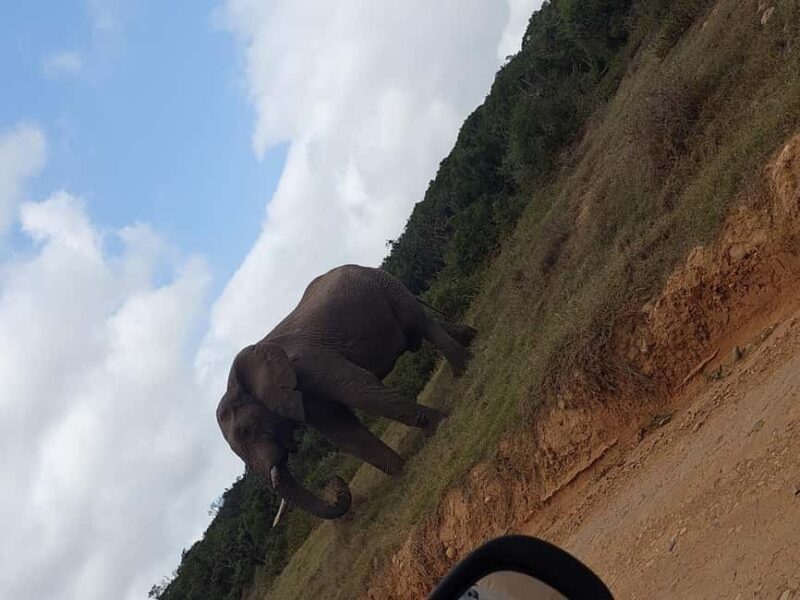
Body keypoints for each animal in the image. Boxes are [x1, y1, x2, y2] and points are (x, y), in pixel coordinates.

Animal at [216, 264, 476, 520]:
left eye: (246, 430)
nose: (334, 482)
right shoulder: (308, 397)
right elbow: (343, 432)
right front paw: (404, 471)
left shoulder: (312, 364)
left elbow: (359, 389)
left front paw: (440, 424)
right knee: (421, 327)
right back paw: (470, 337)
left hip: (385, 286)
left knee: (419, 323)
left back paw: (463, 370)